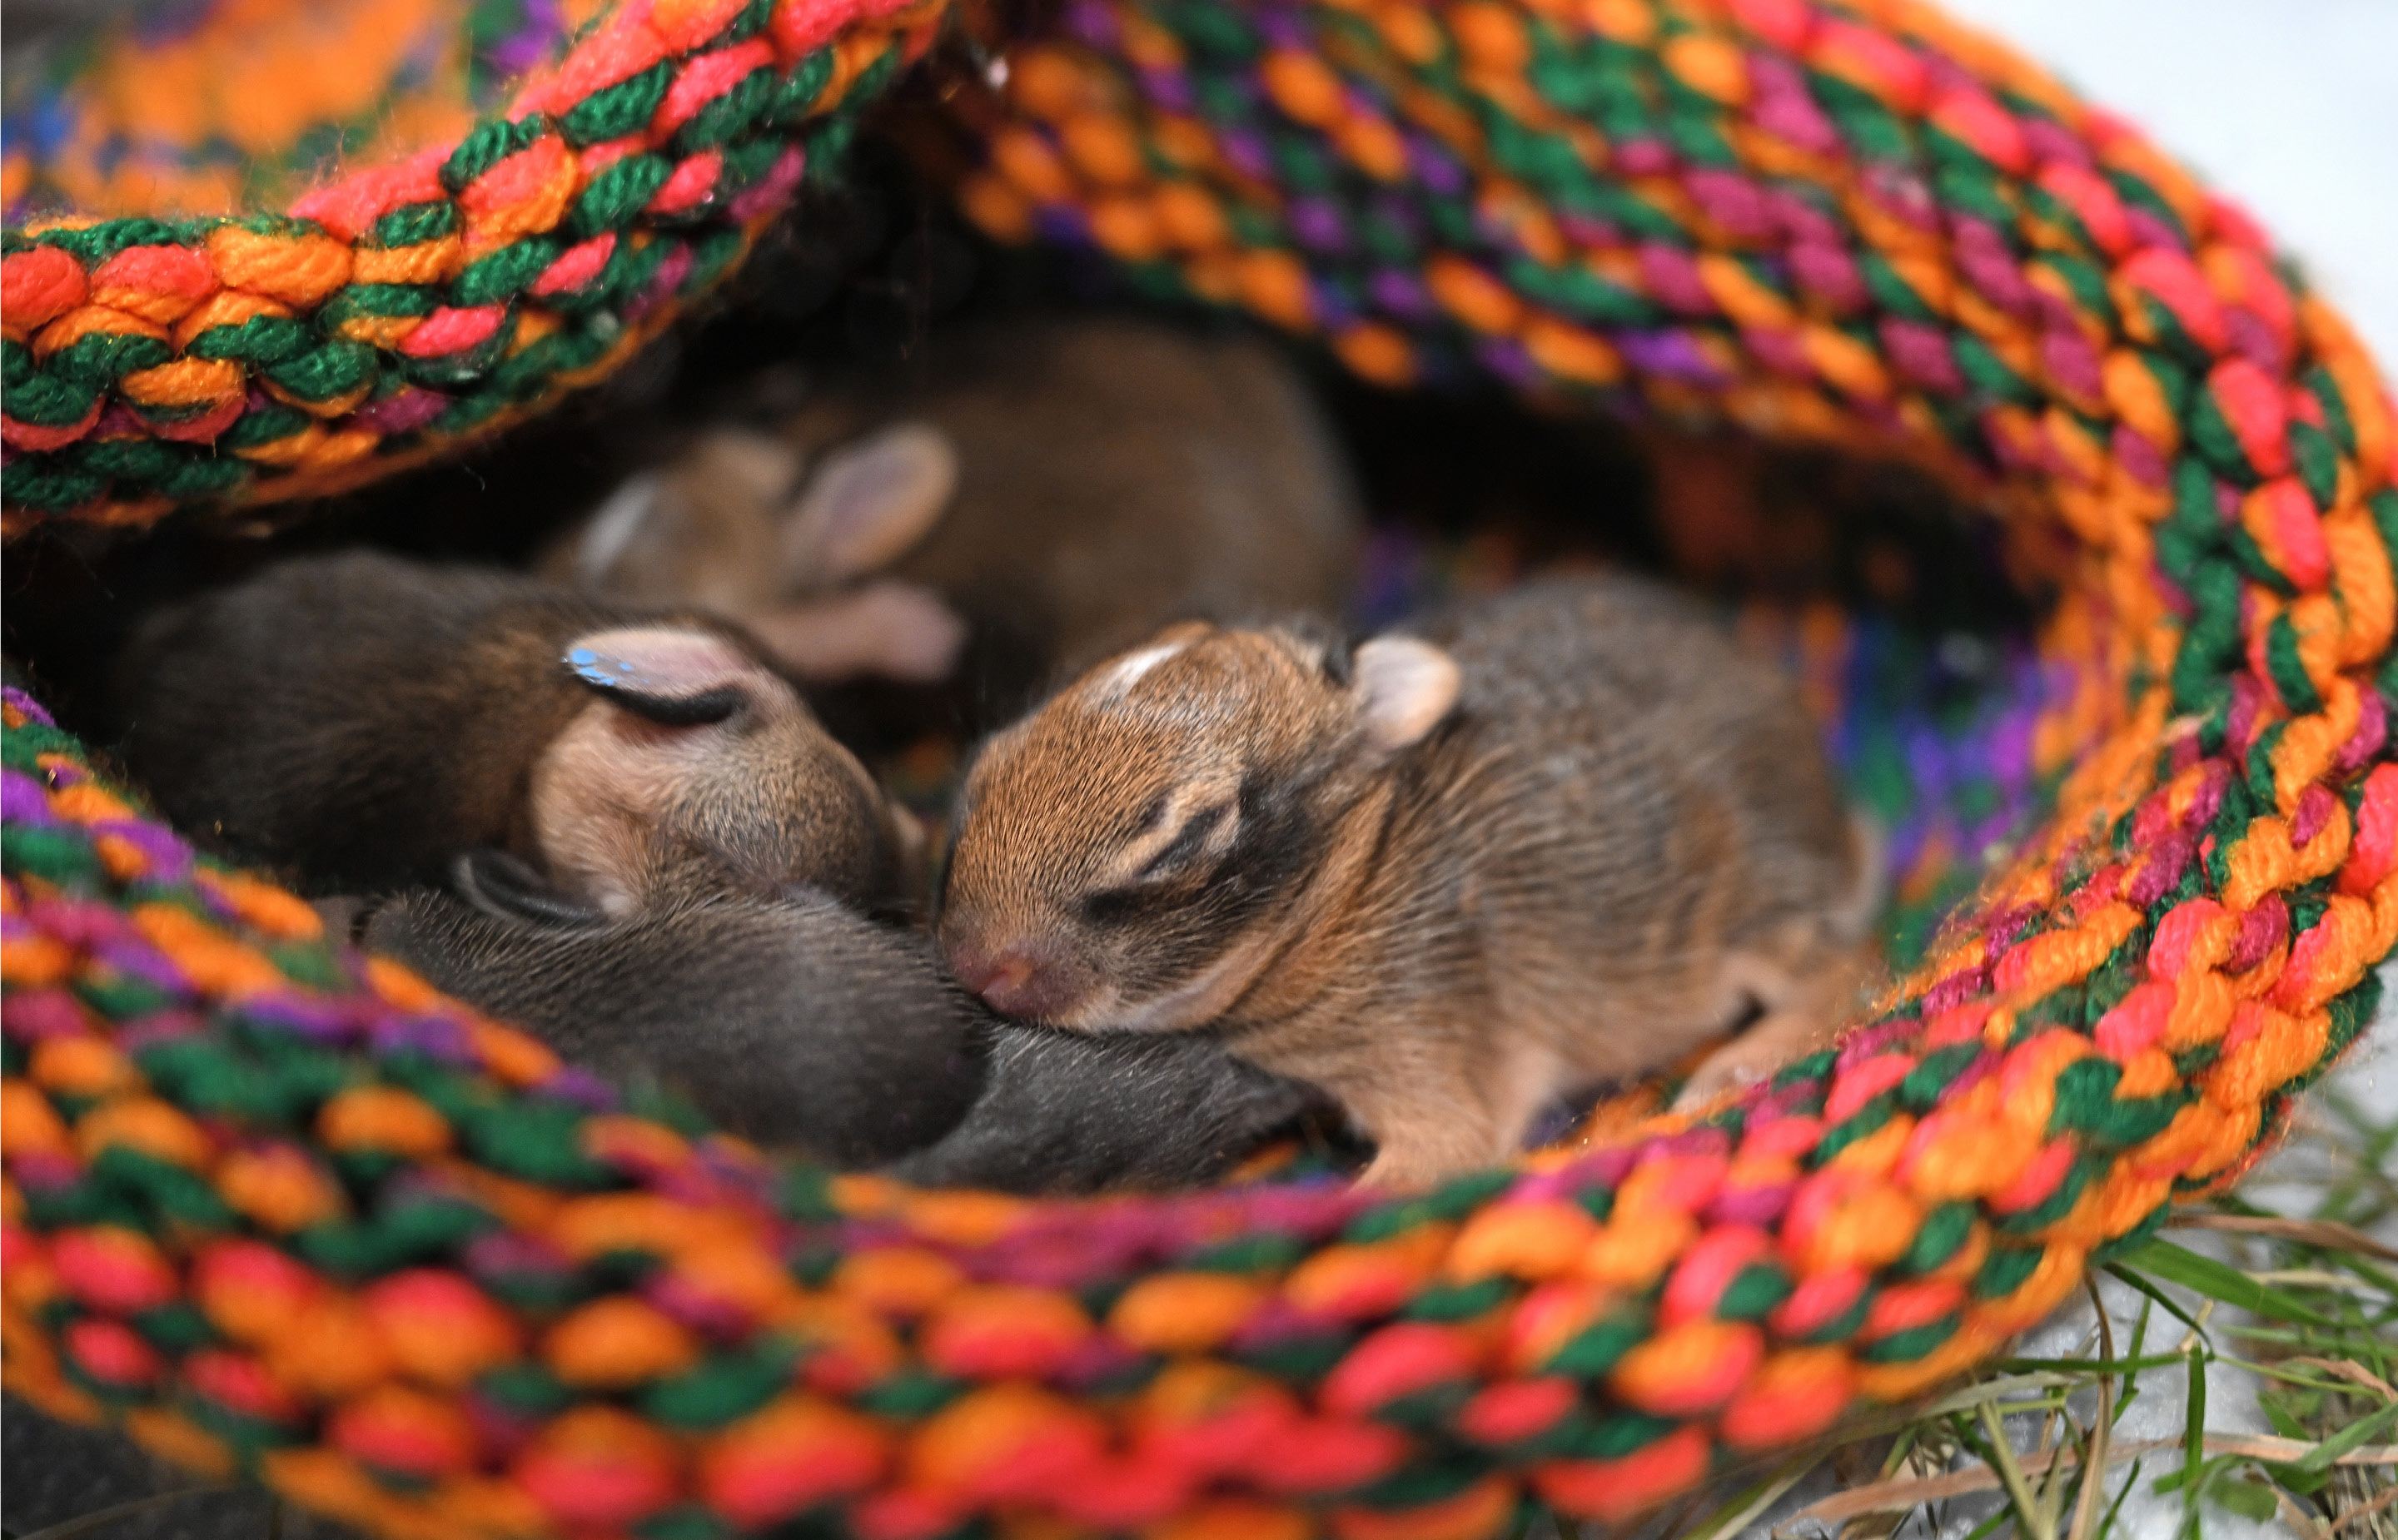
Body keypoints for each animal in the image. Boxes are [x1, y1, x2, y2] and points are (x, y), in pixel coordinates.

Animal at [936, 575, 1881, 1187]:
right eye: (991, 760)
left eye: (1191, 836)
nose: (979, 964)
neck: (1346, 882)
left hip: (1747, 916)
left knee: (1836, 969)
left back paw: (1731, 1069)